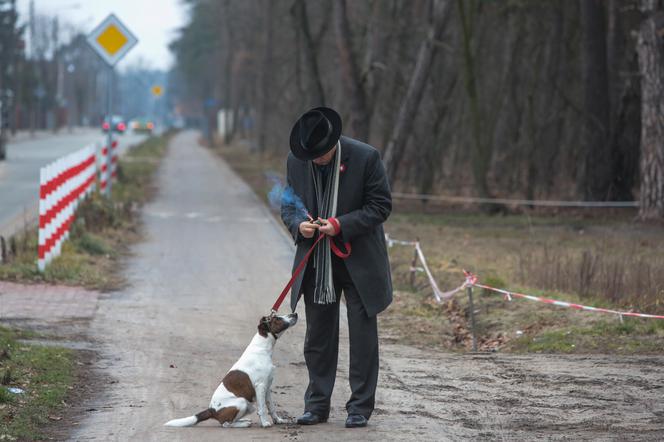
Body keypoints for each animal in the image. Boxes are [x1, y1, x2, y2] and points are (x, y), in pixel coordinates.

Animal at [165, 310, 300, 428]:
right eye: (277, 319)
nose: (295, 314)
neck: (262, 347)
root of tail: (212, 410)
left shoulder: (267, 388)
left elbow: (271, 407)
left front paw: (278, 420)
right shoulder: (260, 386)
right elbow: (262, 408)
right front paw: (265, 423)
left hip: (248, 406)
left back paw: (244, 421)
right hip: (241, 402)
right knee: (225, 424)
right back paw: (244, 424)